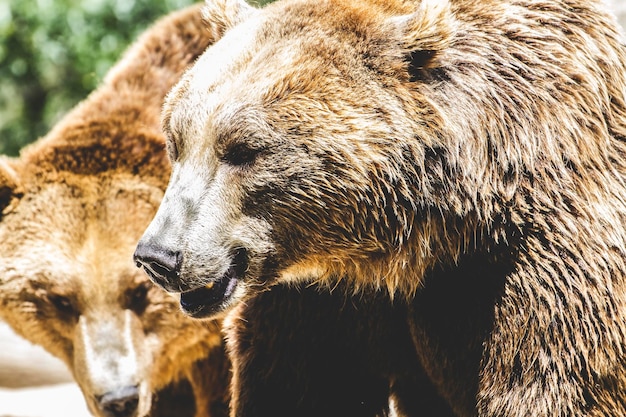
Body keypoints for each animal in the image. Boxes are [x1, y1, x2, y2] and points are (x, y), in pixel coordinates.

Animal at [136, 0, 626, 414]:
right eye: (176, 141)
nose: (158, 256)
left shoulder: (545, 258)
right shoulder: (319, 294)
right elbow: (303, 386)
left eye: (241, 150)